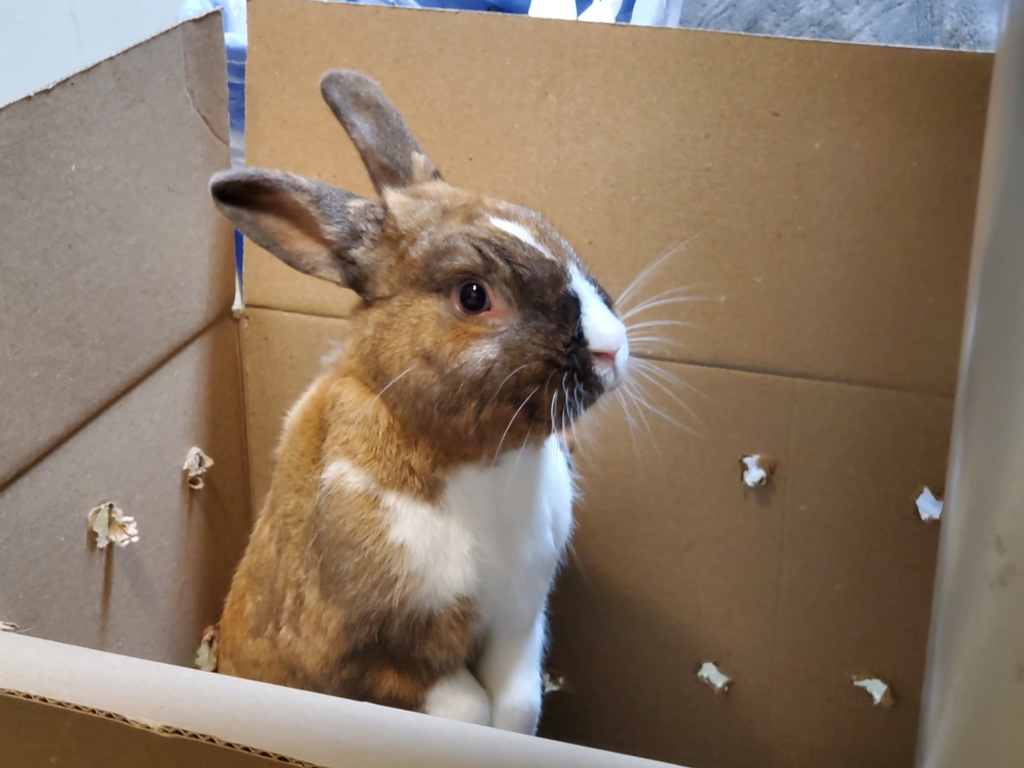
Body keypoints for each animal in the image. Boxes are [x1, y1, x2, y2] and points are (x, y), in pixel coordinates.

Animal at [208, 70, 629, 736]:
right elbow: (466, 707)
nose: (612, 347)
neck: (482, 462)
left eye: (546, 229)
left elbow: (518, 704)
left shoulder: (520, 621)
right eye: (473, 295)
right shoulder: (373, 659)